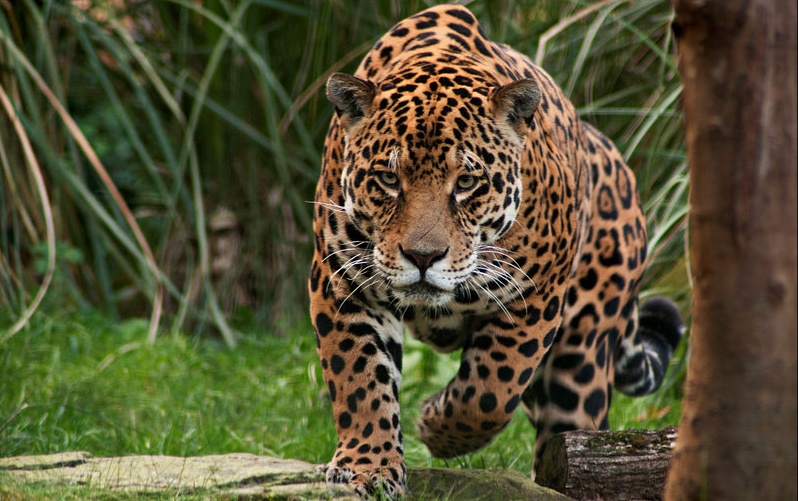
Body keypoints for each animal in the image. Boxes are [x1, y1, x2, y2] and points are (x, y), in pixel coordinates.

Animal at [308, 4, 684, 498]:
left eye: (467, 182)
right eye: (388, 179)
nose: (423, 257)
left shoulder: (535, 296)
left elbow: (490, 392)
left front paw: (434, 426)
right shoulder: (343, 284)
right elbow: (359, 381)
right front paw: (367, 468)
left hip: (581, 357)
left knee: (573, 427)